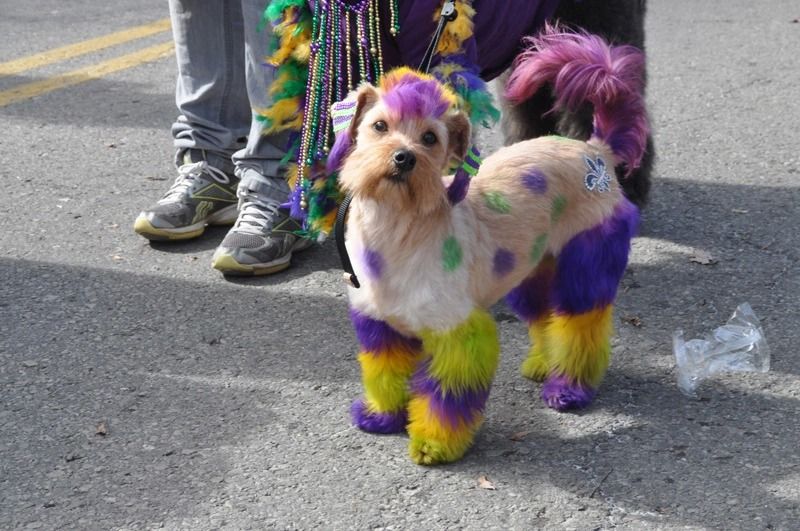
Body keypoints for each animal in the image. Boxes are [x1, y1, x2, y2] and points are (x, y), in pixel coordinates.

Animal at [332, 28, 648, 466]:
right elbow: (385, 375)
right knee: (546, 319)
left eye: (430, 138)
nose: (403, 157)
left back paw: (569, 387)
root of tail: (595, 150)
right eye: (380, 125)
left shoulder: (459, 334)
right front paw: (382, 416)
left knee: (580, 327)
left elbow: (448, 396)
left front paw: (435, 441)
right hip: (533, 273)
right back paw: (543, 363)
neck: (398, 228)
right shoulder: (380, 328)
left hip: (585, 270)